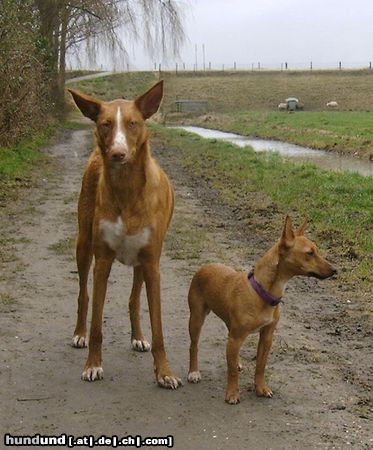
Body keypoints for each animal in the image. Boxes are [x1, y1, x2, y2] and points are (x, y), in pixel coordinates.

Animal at [68, 81, 182, 390]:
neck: (127, 189)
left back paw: (138, 337)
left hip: (141, 263)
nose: (117, 153)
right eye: (105, 124)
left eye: (133, 123)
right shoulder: (103, 260)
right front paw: (93, 365)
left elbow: (158, 329)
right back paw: (79, 333)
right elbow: (97, 323)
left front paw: (164, 372)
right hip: (83, 245)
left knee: (134, 300)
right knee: (83, 295)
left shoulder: (152, 263)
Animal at [187, 216, 336, 402]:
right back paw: (194, 371)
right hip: (196, 319)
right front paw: (232, 393)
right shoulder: (236, 338)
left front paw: (261, 388)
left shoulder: (266, 337)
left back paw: (236, 362)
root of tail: (205, 266)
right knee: (194, 346)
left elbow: (260, 365)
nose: (335, 270)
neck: (262, 292)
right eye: (310, 253)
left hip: (229, 327)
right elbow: (232, 372)